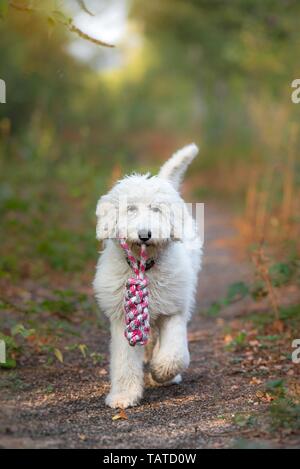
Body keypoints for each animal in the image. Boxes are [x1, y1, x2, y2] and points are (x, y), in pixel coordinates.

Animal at [94, 144, 202, 408]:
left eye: (157, 209)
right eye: (130, 208)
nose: (145, 235)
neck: (145, 269)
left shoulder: (174, 308)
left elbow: (175, 354)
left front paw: (162, 372)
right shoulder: (123, 317)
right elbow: (124, 361)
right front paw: (123, 396)